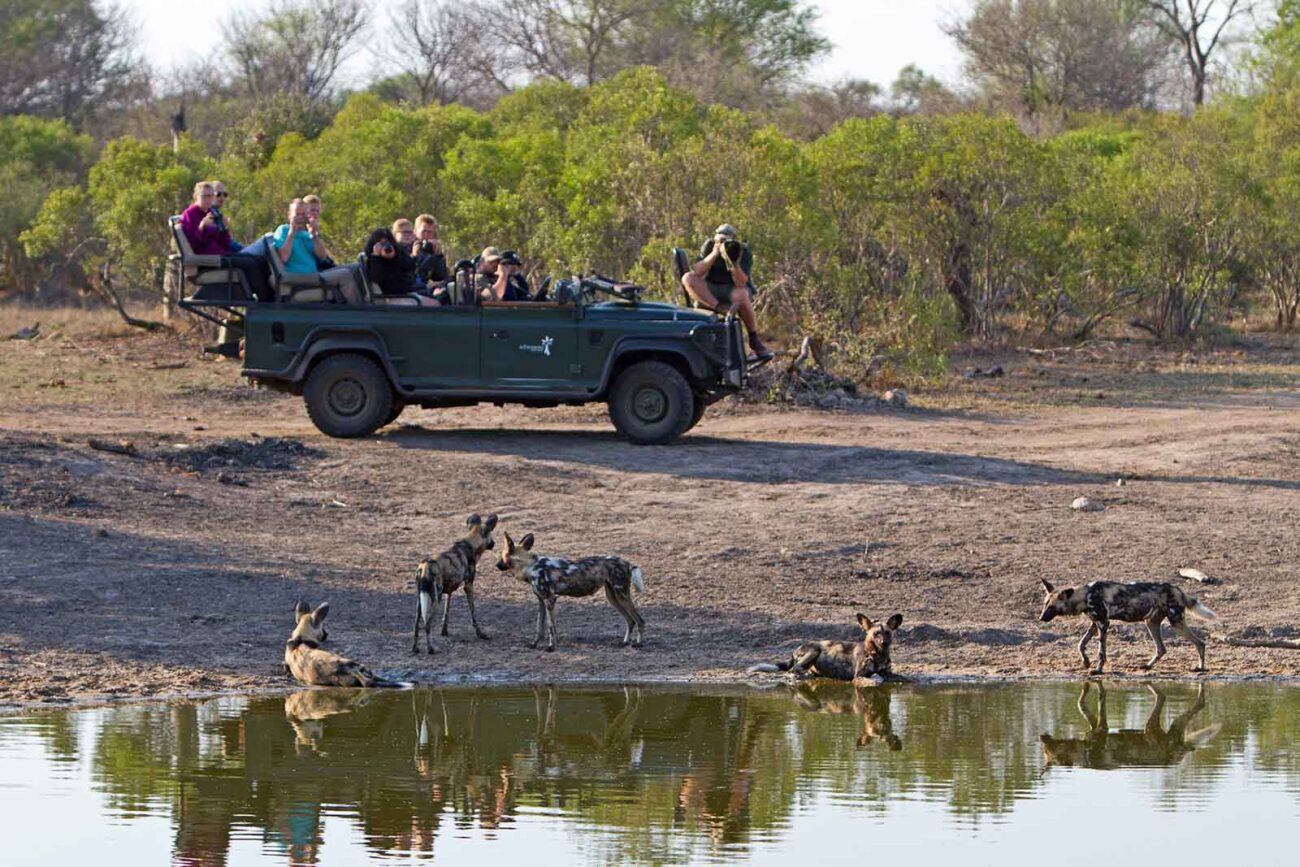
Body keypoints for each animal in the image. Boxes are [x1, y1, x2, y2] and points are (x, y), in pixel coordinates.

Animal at [413, 514, 499, 649]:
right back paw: (430, 649)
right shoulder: (468, 586)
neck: (471, 543)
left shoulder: (449, 591)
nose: (494, 544)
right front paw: (480, 634)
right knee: (427, 623)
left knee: (416, 624)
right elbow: (473, 612)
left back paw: (415, 648)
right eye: (491, 534)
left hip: (420, 600)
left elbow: (446, 612)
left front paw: (444, 631)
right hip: (436, 599)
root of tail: (425, 566)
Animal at [491, 532, 644, 655]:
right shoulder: (541, 601)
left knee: (639, 620)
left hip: (621, 595)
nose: (497, 565)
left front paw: (551, 647)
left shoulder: (550, 600)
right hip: (612, 597)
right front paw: (534, 644)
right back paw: (624, 642)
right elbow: (539, 626)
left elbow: (550, 627)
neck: (530, 565)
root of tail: (627, 562)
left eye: (501, 556)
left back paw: (638, 644)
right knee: (630, 620)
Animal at [748, 613, 909, 681]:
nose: (883, 643)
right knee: (793, 669)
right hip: (814, 650)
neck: (878, 654)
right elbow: (876, 676)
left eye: (887, 633)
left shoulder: (889, 672)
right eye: (876, 634)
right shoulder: (860, 675)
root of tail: (794, 651)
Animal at [1034, 579, 1216, 675]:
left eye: (1051, 607)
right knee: (1161, 648)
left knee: (1200, 643)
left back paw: (1200, 668)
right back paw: (1147, 666)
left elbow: (1101, 653)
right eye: (1044, 604)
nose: (1041, 617)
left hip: (1176, 623)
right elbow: (1081, 644)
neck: (1086, 596)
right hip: (1151, 623)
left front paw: (1098, 669)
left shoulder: (1103, 624)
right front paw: (1085, 662)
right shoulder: (1095, 625)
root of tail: (1177, 589)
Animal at [1034, 681, 1216, 769]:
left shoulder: (1102, 727)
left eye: (1050, 749)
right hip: (1170, 729)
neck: (1083, 754)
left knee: (1164, 698)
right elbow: (1081, 704)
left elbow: (1099, 698)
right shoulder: (1094, 726)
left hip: (1150, 729)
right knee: (1185, 714)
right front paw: (1085, 687)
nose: (1042, 737)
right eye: (1045, 751)